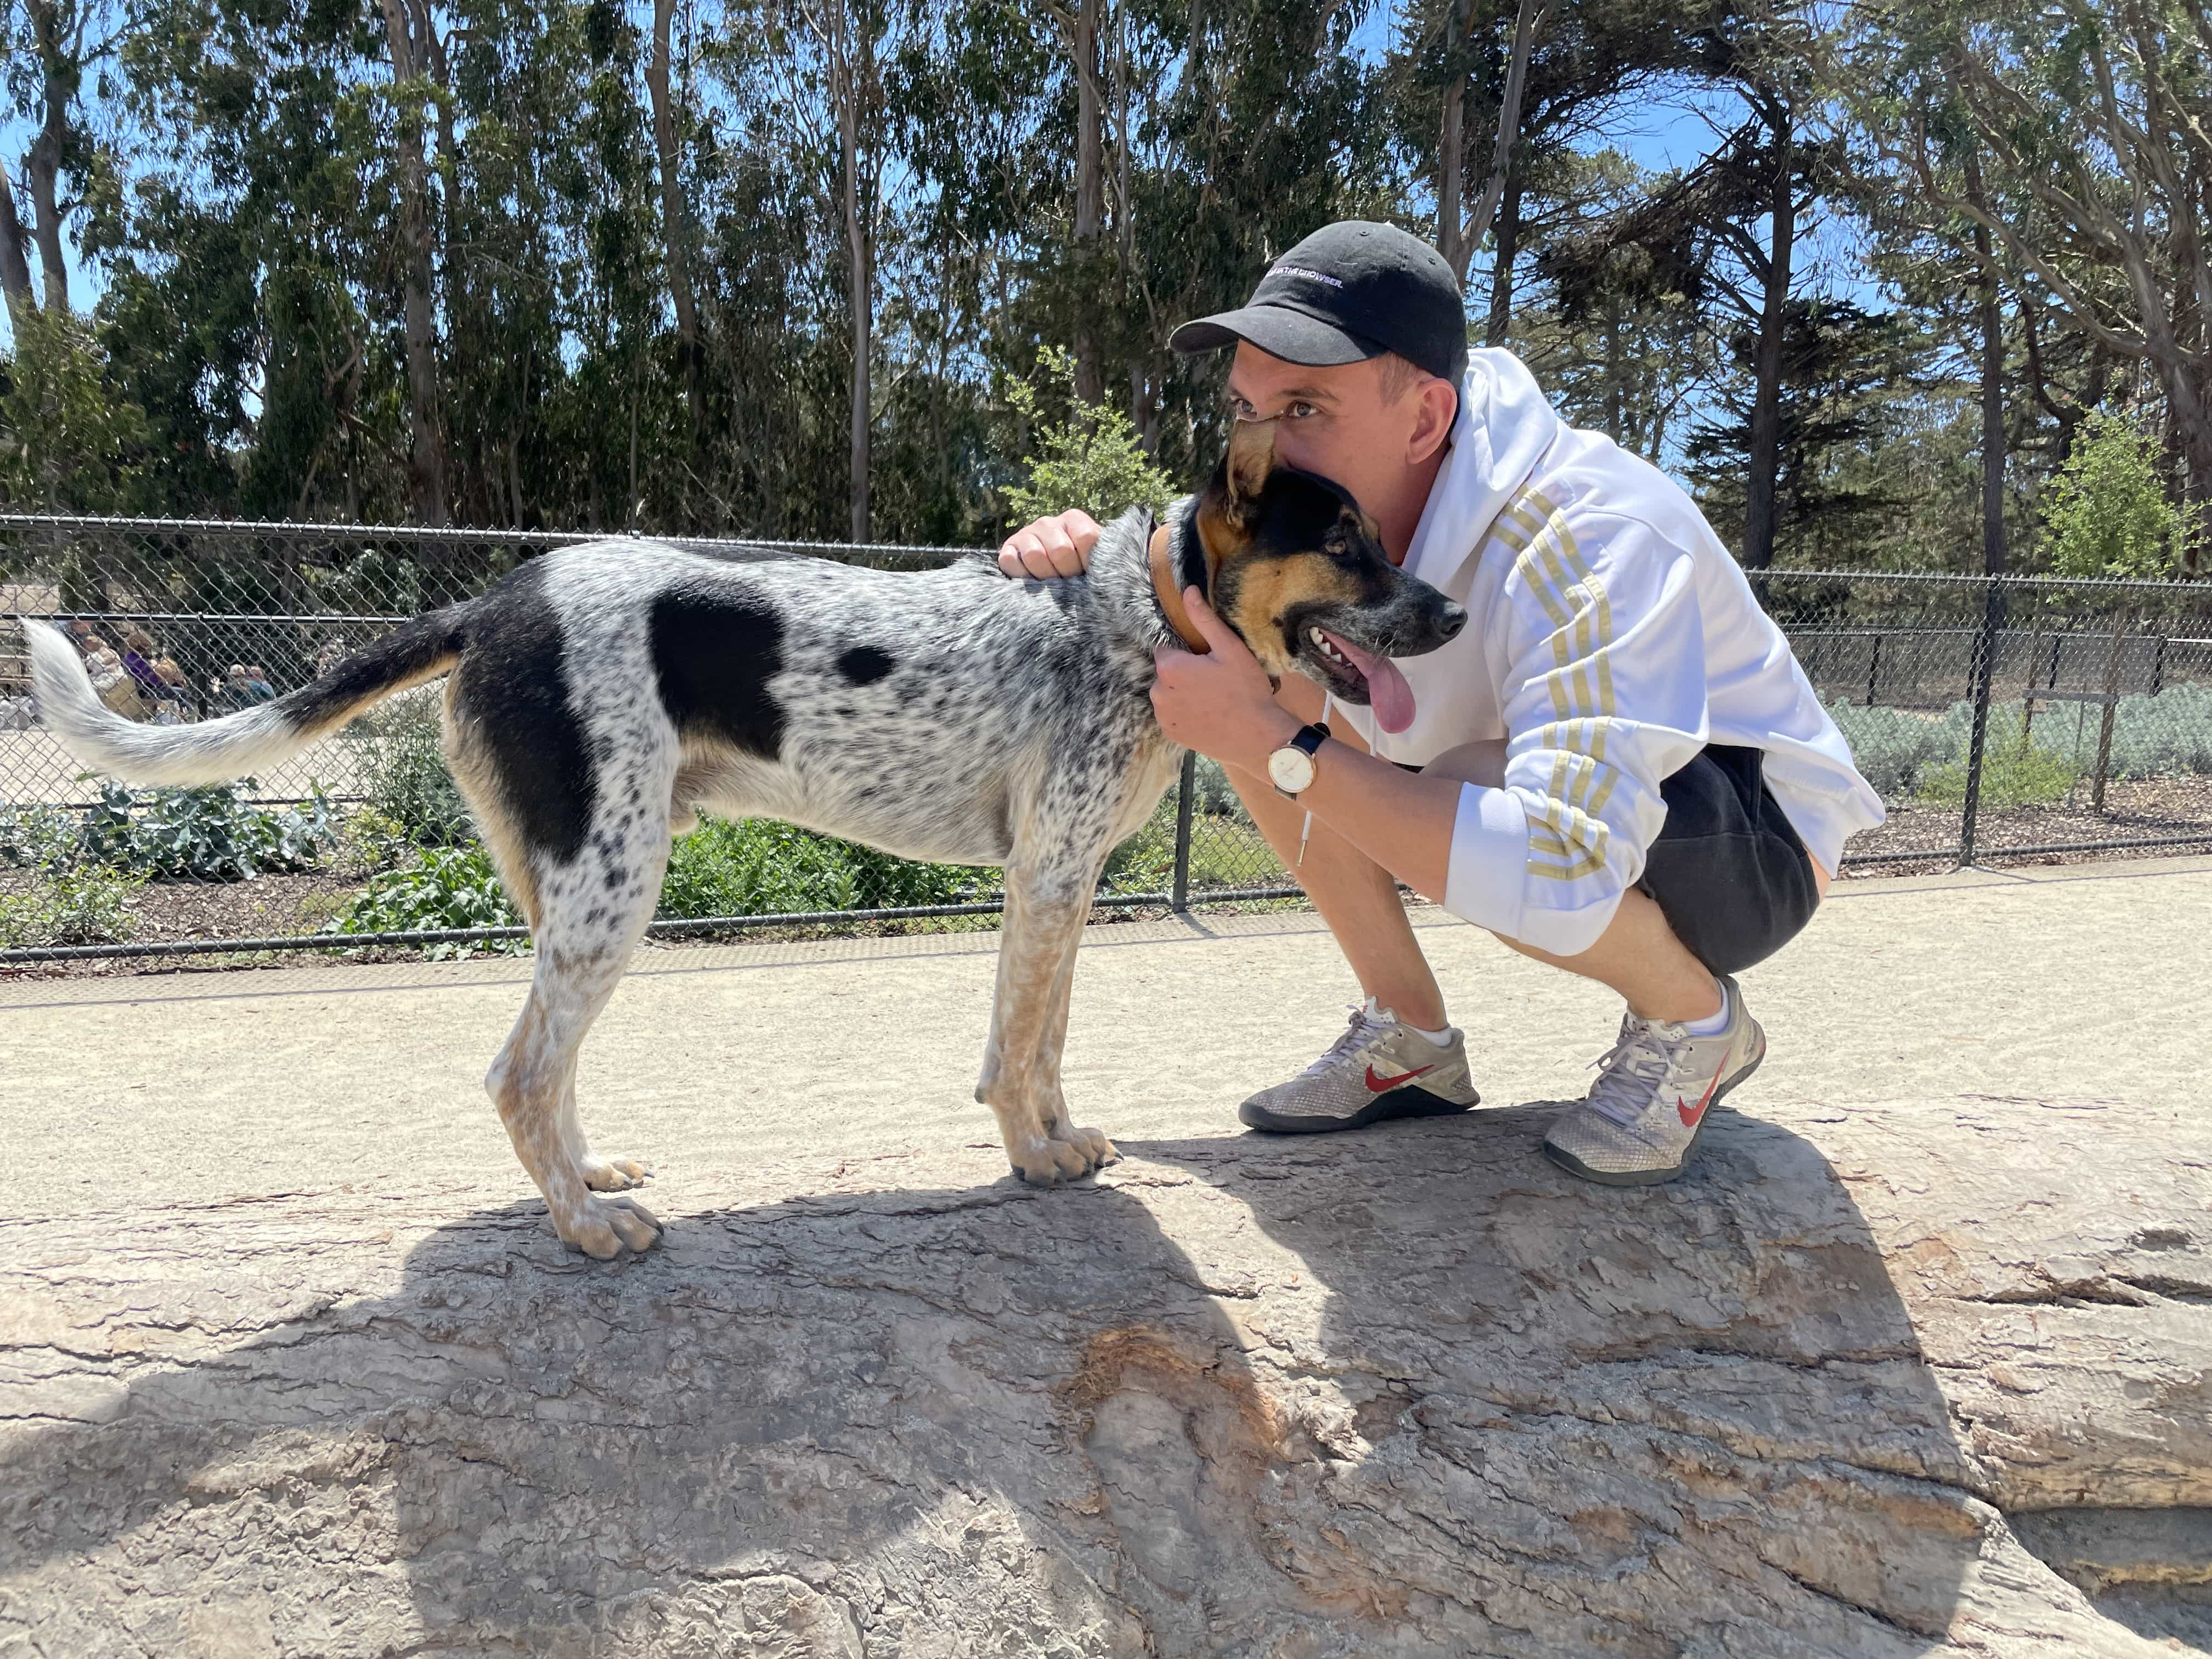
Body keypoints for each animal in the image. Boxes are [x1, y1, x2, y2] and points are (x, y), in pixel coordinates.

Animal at [26, 422, 1469, 1256]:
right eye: (1347, 543)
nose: (1452, 613)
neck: (1136, 614)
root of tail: (495, 601)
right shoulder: (1049, 877)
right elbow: (1018, 1053)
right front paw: (1034, 1156)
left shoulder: (1058, 886)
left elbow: (1045, 1041)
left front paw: (1057, 1139)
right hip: (615, 891)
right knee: (515, 1074)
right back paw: (589, 1227)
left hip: (567, 891)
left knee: (547, 1075)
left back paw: (586, 1173)